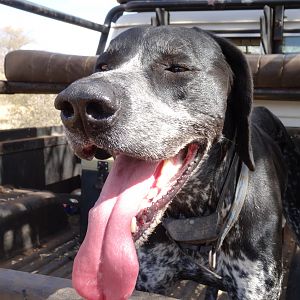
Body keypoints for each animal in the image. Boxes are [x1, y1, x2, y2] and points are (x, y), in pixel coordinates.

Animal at [54, 27, 300, 298]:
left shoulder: (257, 287)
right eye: (102, 66)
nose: (78, 103)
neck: (194, 217)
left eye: (177, 68)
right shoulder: (151, 279)